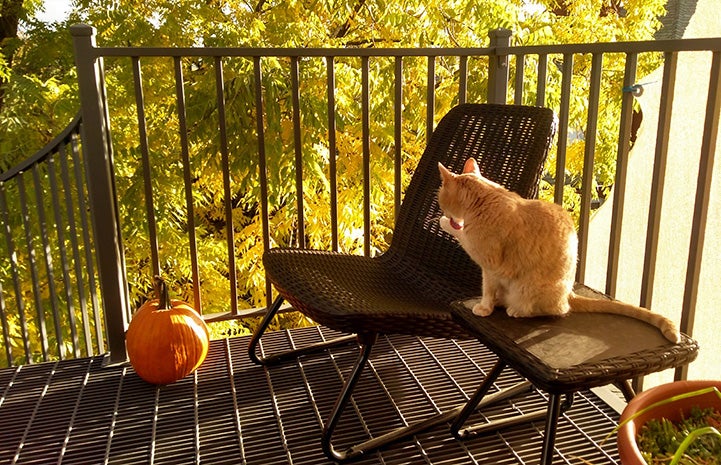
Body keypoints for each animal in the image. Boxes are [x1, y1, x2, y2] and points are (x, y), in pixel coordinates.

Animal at [436, 158, 676, 342]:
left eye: (440, 199)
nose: (442, 211)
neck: (486, 198)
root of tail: (570, 292)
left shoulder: (488, 264)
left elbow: (486, 288)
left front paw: (485, 307)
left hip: (527, 288)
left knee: (557, 310)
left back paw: (517, 310)